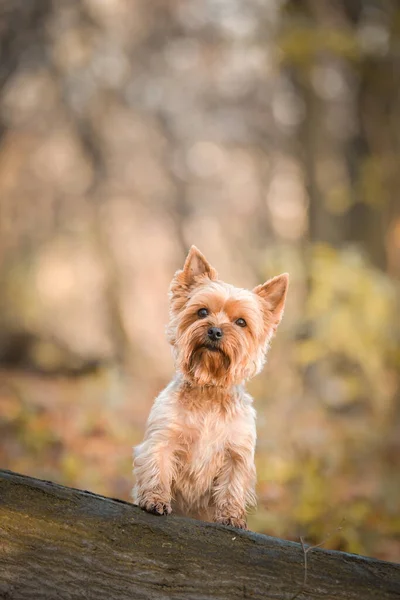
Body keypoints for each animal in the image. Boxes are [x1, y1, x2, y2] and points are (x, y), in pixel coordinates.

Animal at [133, 246, 290, 528]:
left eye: (241, 322)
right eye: (202, 312)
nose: (215, 331)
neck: (209, 387)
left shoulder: (236, 454)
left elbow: (232, 486)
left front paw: (231, 516)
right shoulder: (164, 438)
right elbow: (157, 466)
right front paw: (155, 499)